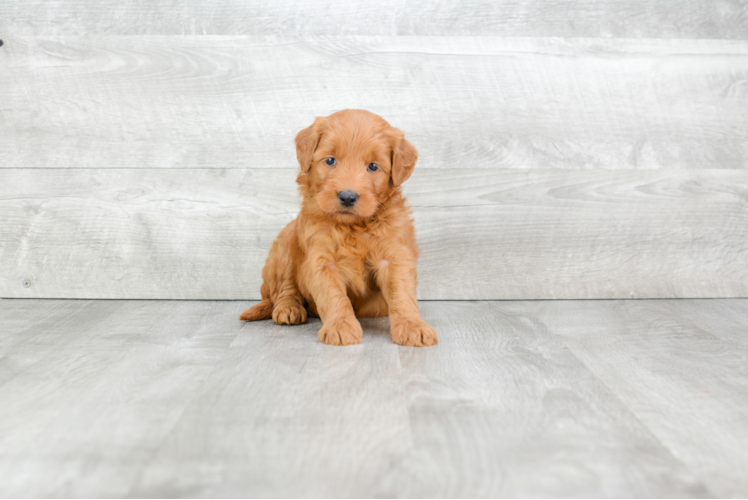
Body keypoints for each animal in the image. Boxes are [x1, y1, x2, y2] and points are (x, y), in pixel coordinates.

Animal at [240, 108, 438, 346]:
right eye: (330, 160)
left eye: (373, 166)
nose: (347, 196)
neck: (353, 227)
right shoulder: (322, 259)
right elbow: (333, 296)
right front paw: (341, 327)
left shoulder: (394, 255)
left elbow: (402, 293)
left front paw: (413, 326)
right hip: (286, 242)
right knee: (283, 287)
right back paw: (289, 308)